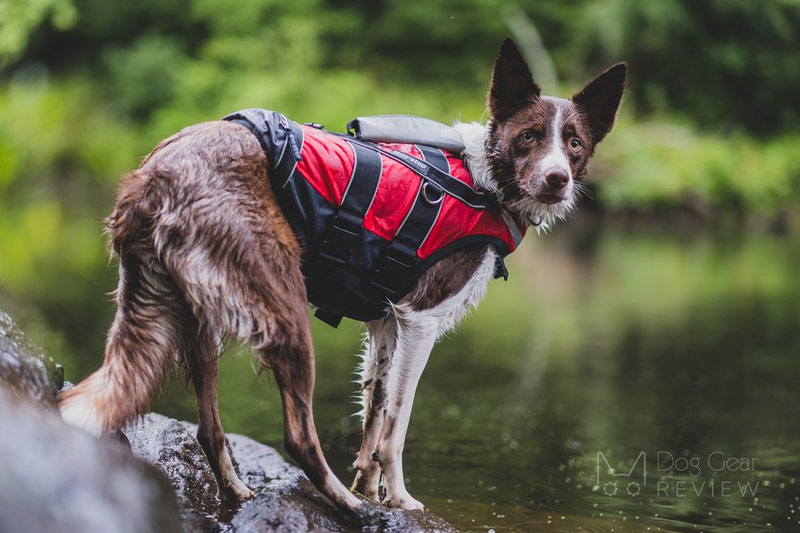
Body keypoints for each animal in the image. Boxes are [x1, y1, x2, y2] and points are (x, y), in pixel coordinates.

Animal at [61, 39, 624, 510]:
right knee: (297, 436)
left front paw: (371, 489)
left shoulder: (385, 324)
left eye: (574, 143)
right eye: (529, 136)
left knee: (207, 427)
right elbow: (396, 426)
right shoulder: (420, 320)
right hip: (281, 305)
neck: (483, 180)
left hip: (194, 316)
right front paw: (398, 500)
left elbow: (374, 415)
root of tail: (152, 175)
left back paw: (248, 493)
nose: (557, 179)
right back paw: (344, 505)